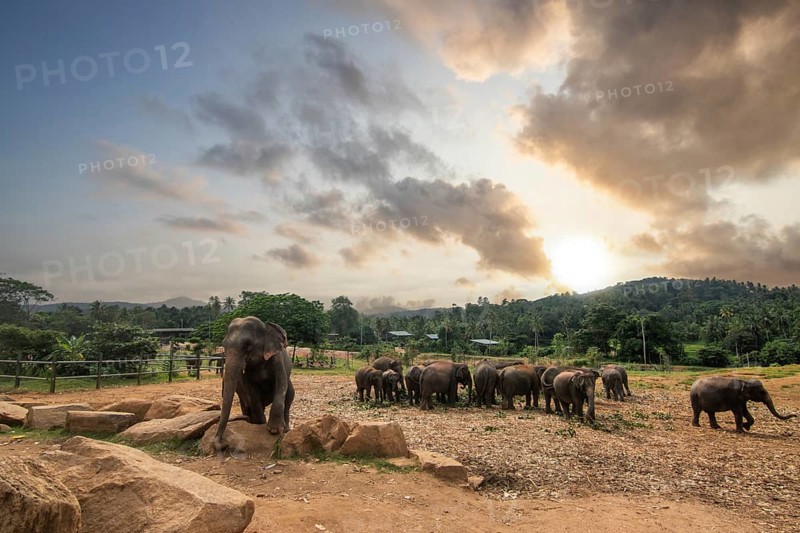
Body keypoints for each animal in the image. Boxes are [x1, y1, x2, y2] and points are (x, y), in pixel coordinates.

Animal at [214, 317, 295, 451]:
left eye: (248, 344)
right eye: (224, 345)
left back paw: (286, 430)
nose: (223, 444)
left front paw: (274, 430)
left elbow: (281, 383)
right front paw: (260, 424)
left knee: (289, 397)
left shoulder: (277, 359)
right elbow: (252, 393)